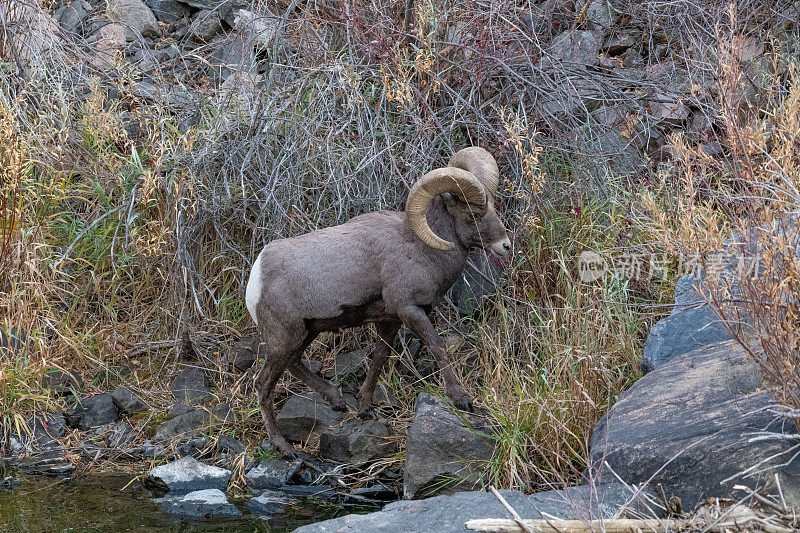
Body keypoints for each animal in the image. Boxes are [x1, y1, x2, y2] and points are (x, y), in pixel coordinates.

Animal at [244, 145, 510, 454]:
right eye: (473, 214)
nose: (505, 246)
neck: (421, 249)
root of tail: (256, 278)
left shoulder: (390, 319)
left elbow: (380, 358)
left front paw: (365, 409)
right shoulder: (410, 310)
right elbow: (437, 346)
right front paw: (462, 400)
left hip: (305, 333)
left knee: (295, 363)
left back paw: (337, 401)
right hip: (283, 339)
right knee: (263, 384)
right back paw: (283, 448)